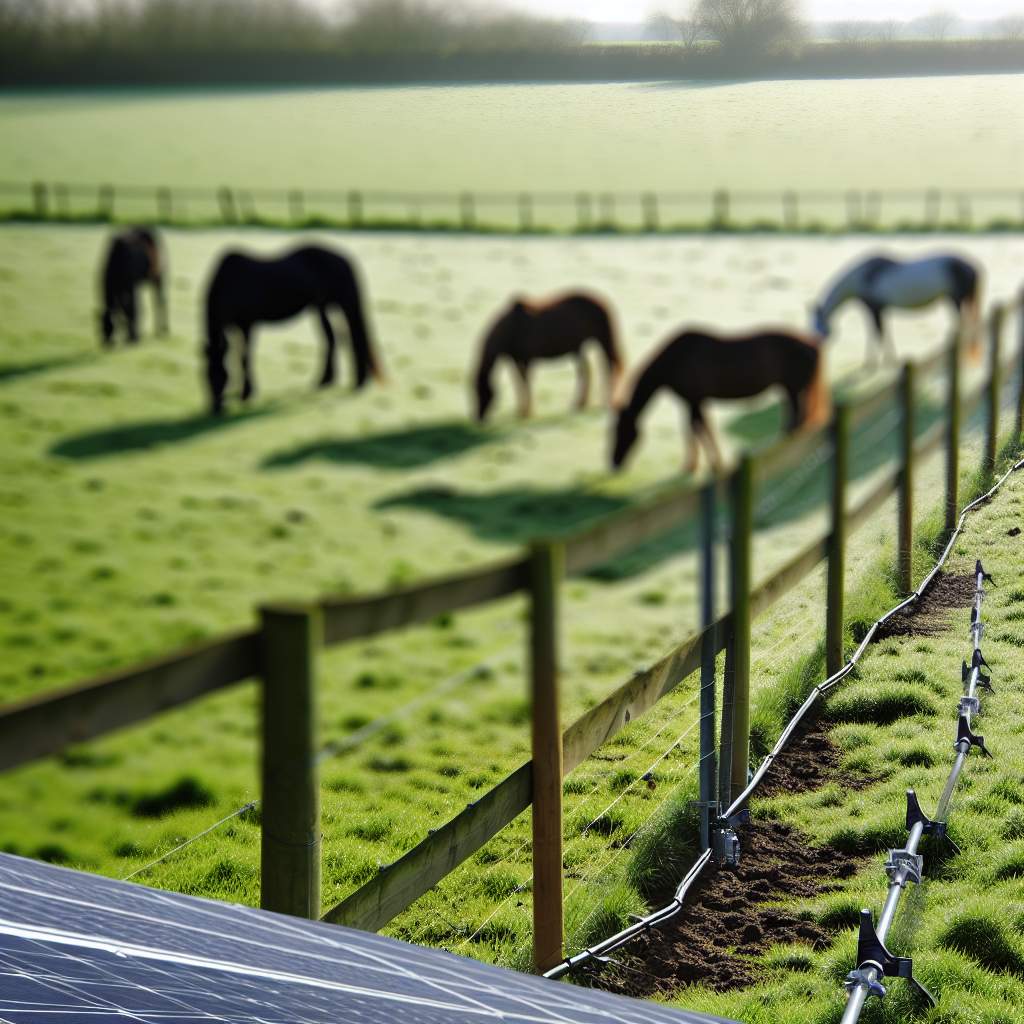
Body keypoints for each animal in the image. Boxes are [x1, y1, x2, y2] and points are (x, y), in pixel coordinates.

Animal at [201, 243, 382, 415]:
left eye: (225, 375)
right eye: (205, 375)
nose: (216, 409)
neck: (230, 282)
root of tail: (344, 258)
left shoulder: (247, 324)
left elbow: (244, 357)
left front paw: (247, 394)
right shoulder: (235, 326)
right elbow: (239, 355)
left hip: (346, 305)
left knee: (356, 338)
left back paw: (359, 383)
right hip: (321, 305)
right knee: (331, 338)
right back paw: (325, 380)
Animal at [473, 292, 622, 419]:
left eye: (482, 390)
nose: (479, 418)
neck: (512, 328)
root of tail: (603, 302)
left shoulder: (526, 360)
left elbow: (525, 382)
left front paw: (527, 412)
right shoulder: (516, 360)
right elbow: (519, 382)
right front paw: (521, 411)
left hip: (603, 342)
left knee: (608, 368)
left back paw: (606, 402)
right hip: (579, 348)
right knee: (586, 371)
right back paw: (579, 405)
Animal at [610, 325, 827, 473]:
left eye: (622, 431)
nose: (614, 463)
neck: (676, 360)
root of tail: (812, 344)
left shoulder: (694, 401)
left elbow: (698, 429)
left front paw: (713, 465)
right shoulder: (694, 402)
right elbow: (696, 428)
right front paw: (697, 464)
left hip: (793, 390)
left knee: (797, 420)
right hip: (790, 390)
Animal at [811, 253, 978, 370]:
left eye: (819, 328)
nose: (818, 352)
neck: (864, 277)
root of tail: (971, 267)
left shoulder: (874, 310)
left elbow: (878, 334)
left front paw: (876, 364)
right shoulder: (880, 310)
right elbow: (882, 333)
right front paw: (887, 360)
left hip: (956, 301)